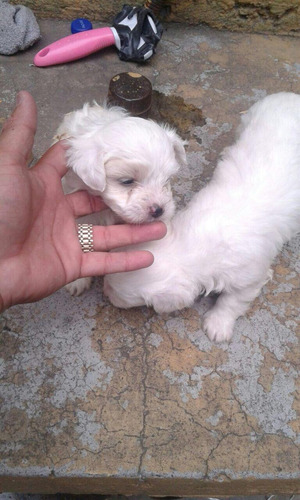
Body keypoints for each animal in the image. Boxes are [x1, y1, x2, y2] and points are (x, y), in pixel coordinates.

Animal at [103, 93, 300, 344]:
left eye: (116, 293)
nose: (105, 291)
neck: (193, 244)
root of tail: (290, 96)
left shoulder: (250, 277)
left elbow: (232, 301)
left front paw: (218, 324)